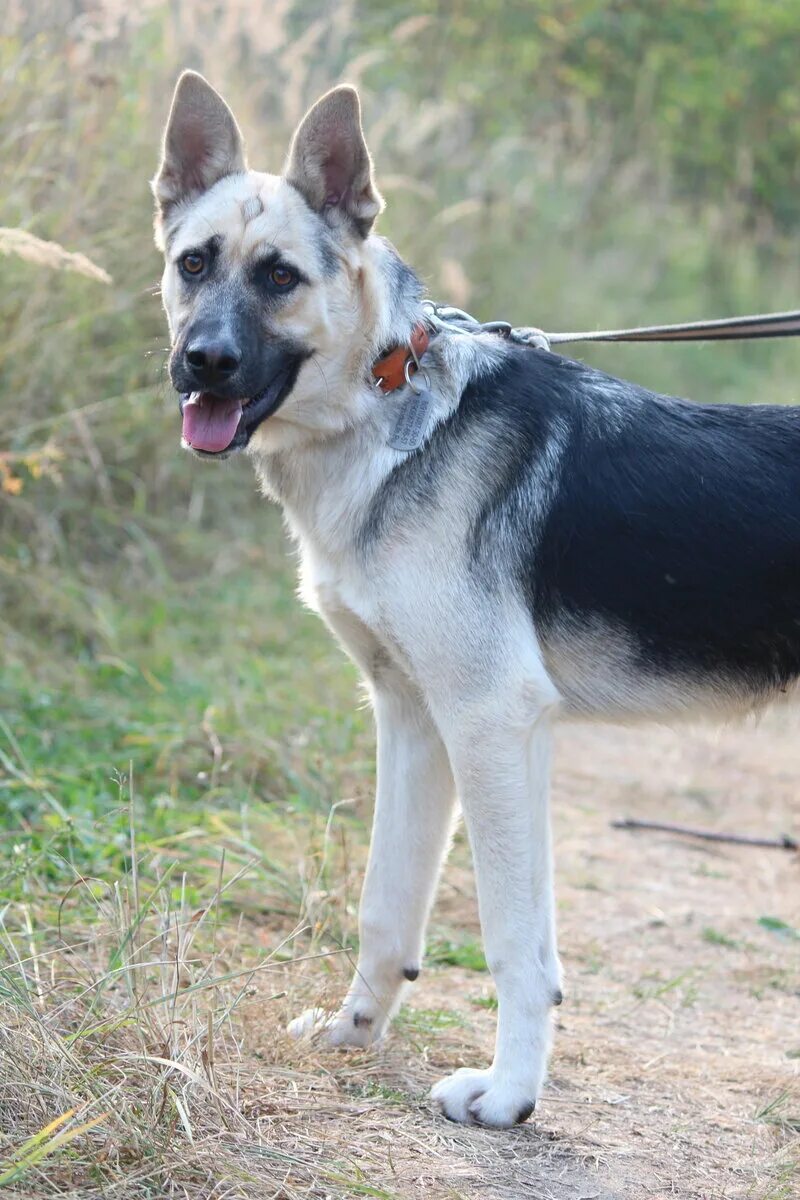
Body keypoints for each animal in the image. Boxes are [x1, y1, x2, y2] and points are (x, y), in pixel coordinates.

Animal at [151, 72, 800, 1123]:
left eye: (280, 278)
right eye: (194, 264)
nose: (201, 363)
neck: (385, 404)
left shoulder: (493, 723)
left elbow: (514, 944)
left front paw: (510, 1096)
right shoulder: (414, 720)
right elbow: (386, 908)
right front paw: (353, 1033)